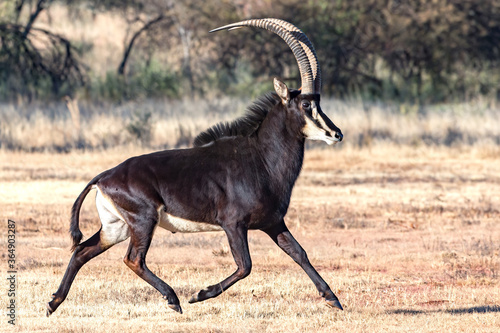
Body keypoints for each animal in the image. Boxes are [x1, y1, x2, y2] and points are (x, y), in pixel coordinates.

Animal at [47, 18, 344, 316]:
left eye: (319, 103)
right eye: (305, 104)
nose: (336, 134)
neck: (261, 158)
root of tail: (103, 177)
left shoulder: (273, 222)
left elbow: (299, 253)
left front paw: (333, 298)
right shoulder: (233, 224)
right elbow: (245, 266)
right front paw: (200, 294)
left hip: (116, 227)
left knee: (81, 251)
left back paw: (53, 302)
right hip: (143, 220)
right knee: (133, 259)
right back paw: (173, 299)